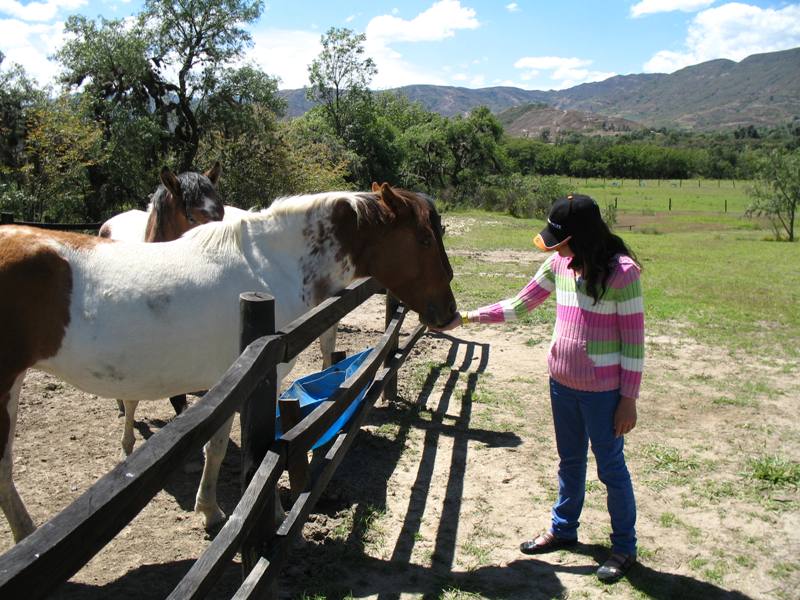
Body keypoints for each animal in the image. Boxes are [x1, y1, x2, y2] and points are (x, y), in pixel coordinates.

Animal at [0, 184, 456, 544]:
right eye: (423, 239)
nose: (449, 313)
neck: (269, 264)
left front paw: (211, 509)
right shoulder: (248, 380)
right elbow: (238, 450)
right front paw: (235, 512)